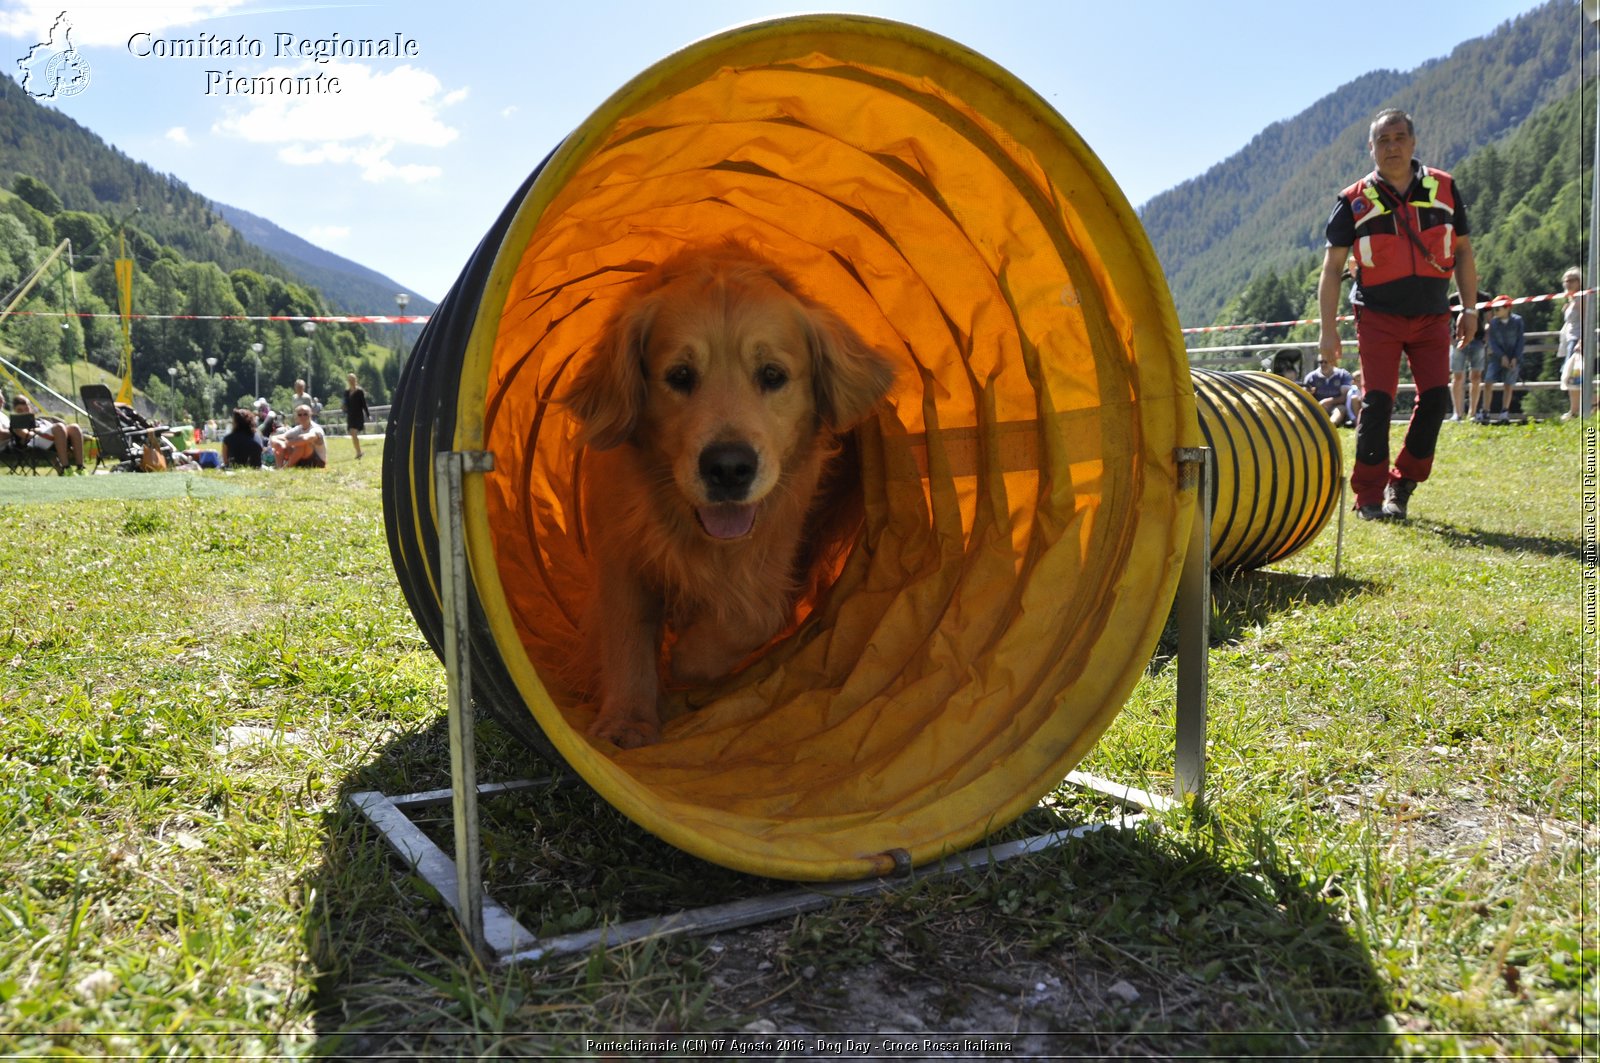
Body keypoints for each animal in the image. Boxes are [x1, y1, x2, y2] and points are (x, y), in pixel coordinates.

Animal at [563, 246, 896, 752]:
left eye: (773, 375)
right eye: (680, 375)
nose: (728, 469)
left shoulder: (774, 550)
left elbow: (754, 617)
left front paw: (687, 658)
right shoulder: (621, 551)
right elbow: (626, 639)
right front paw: (626, 721)